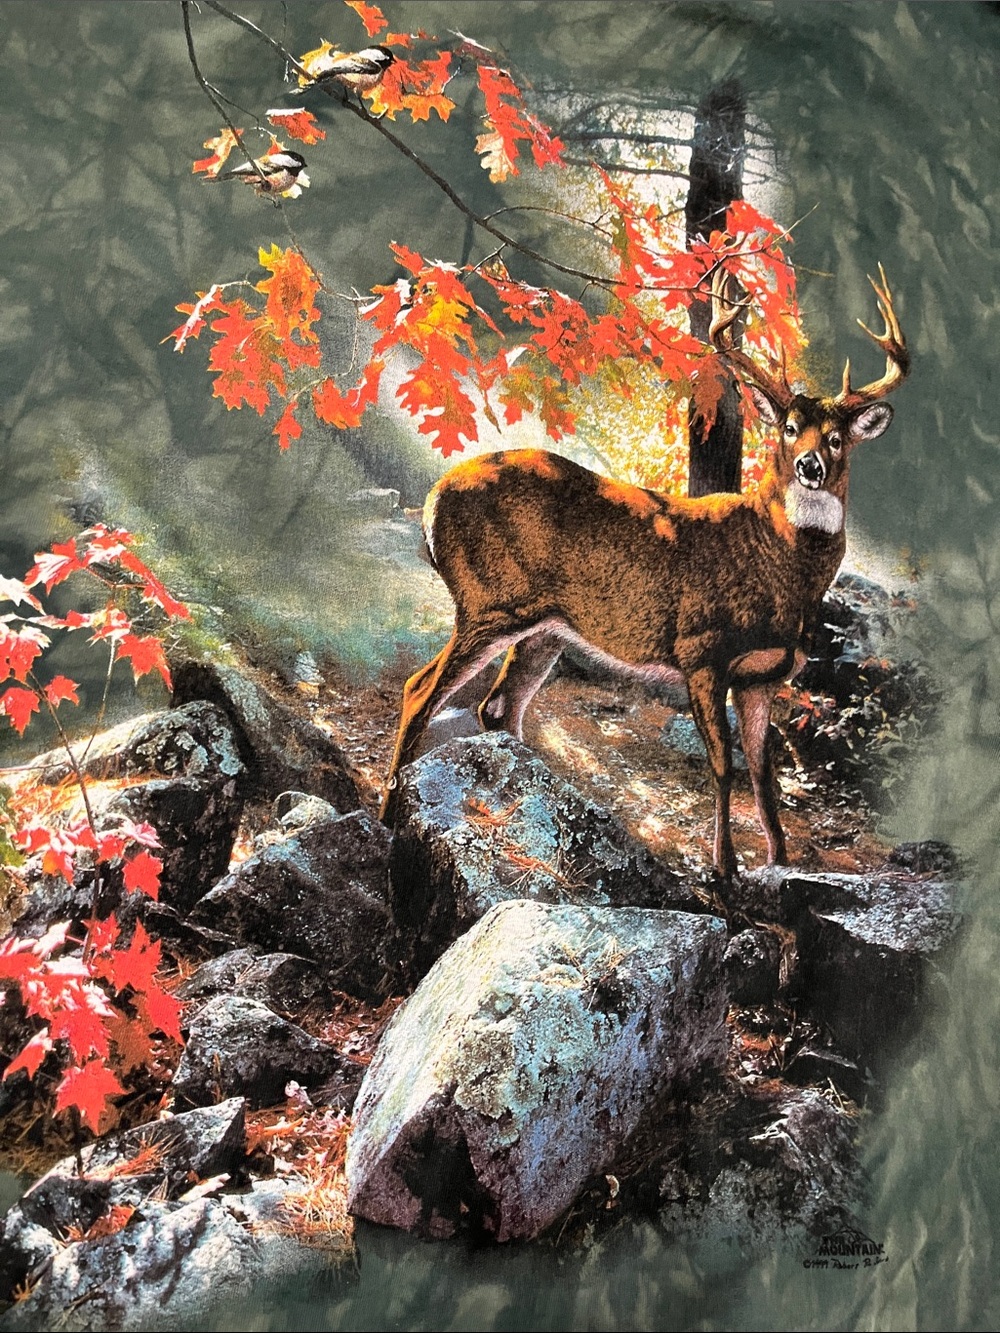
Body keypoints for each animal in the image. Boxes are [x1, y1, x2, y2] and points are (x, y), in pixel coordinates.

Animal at [381, 265, 909, 879]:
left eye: (836, 437)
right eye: (789, 426)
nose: (810, 466)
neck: (777, 563)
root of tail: (432, 498)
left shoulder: (764, 676)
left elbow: (764, 776)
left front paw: (778, 862)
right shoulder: (702, 652)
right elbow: (723, 767)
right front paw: (725, 870)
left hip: (543, 629)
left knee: (500, 710)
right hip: (488, 601)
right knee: (420, 689)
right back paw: (389, 814)